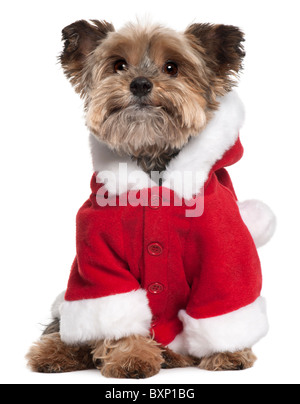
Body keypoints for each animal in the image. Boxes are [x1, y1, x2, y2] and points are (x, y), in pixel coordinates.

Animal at [27, 19, 276, 378]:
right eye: (119, 65)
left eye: (172, 67)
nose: (141, 83)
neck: (152, 154)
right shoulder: (99, 256)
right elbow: (118, 314)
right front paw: (132, 356)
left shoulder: (224, 253)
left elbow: (225, 300)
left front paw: (228, 353)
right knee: (67, 328)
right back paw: (56, 352)